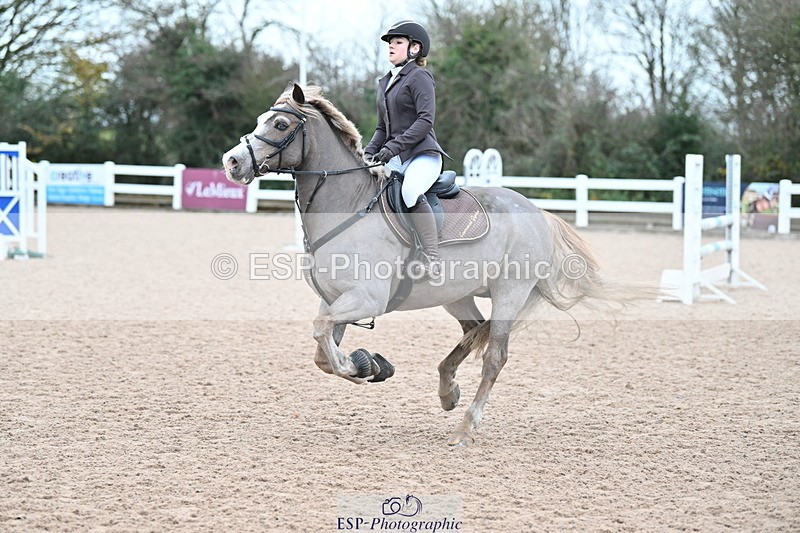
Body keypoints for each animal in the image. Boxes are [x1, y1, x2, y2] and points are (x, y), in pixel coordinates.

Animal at [222, 83, 638, 446]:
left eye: (280, 125)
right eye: (261, 120)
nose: (232, 162)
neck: (347, 206)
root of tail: (536, 211)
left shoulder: (365, 299)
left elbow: (322, 336)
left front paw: (360, 367)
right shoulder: (333, 299)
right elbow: (322, 353)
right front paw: (370, 365)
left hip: (509, 292)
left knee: (494, 357)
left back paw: (465, 428)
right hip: (458, 294)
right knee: (473, 329)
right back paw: (447, 390)